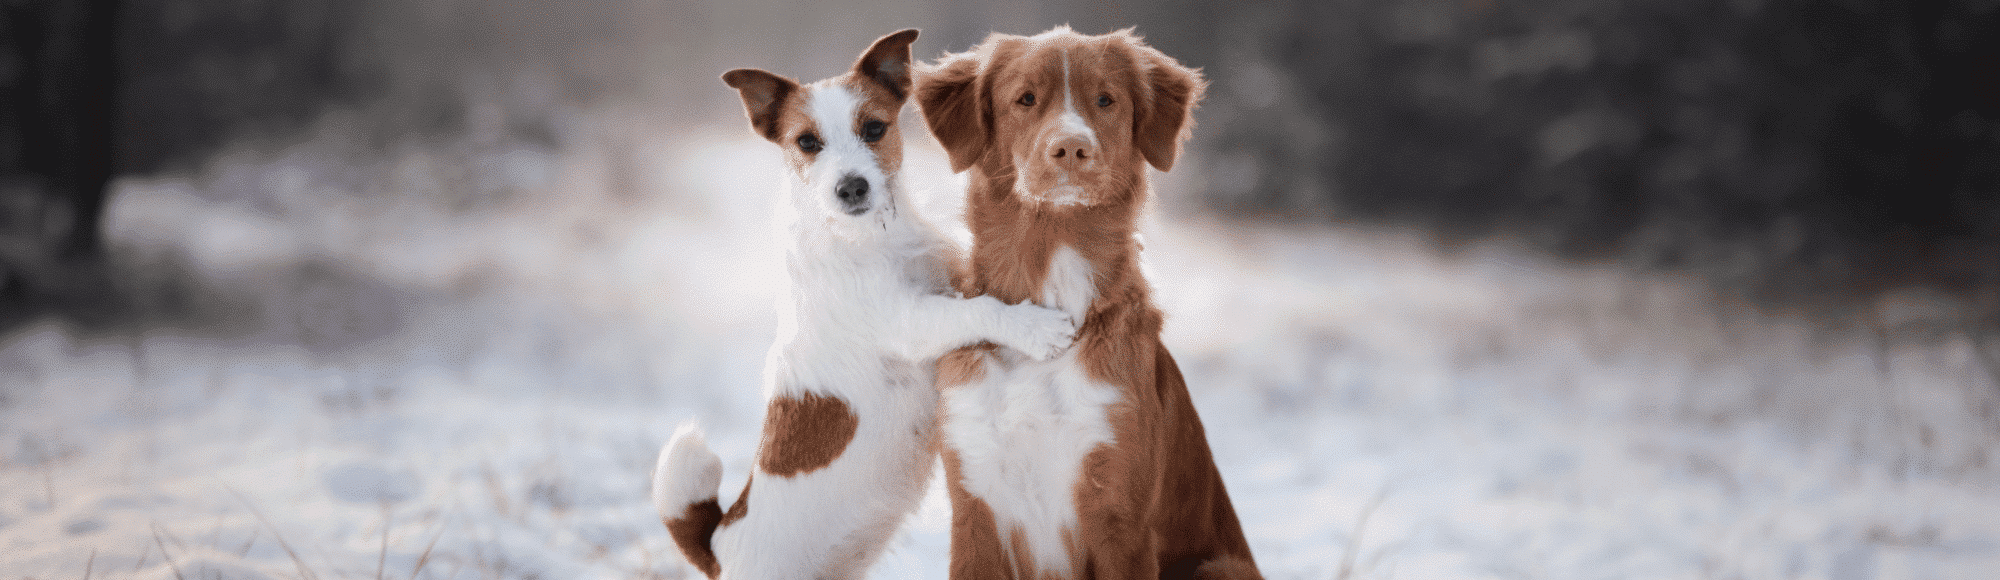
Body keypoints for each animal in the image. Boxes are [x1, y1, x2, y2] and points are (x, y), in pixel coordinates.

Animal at [656, 29, 1080, 576]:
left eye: (874, 128)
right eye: (807, 142)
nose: (851, 187)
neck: (871, 237)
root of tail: (720, 547)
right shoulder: (910, 321)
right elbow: (978, 309)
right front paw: (1035, 328)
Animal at [916, 24, 1256, 576]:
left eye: (1106, 100)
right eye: (1025, 99)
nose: (1072, 149)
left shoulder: (1119, 515)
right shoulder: (976, 508)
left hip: (1221, 566)